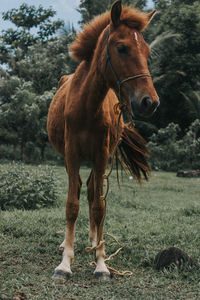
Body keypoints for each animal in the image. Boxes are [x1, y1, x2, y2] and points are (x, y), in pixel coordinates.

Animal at [47, 1, 159, 280]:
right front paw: (65, 263)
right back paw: (69, 242)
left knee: (91, 192)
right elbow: (71, 204)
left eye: (147, 51)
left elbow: (99, 206)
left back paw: (94, 239)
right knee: (79, 189)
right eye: (122, 48)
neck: (88, 106)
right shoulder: (72, 154)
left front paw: (101, 263)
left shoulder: (100, 155)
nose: (150, 102)